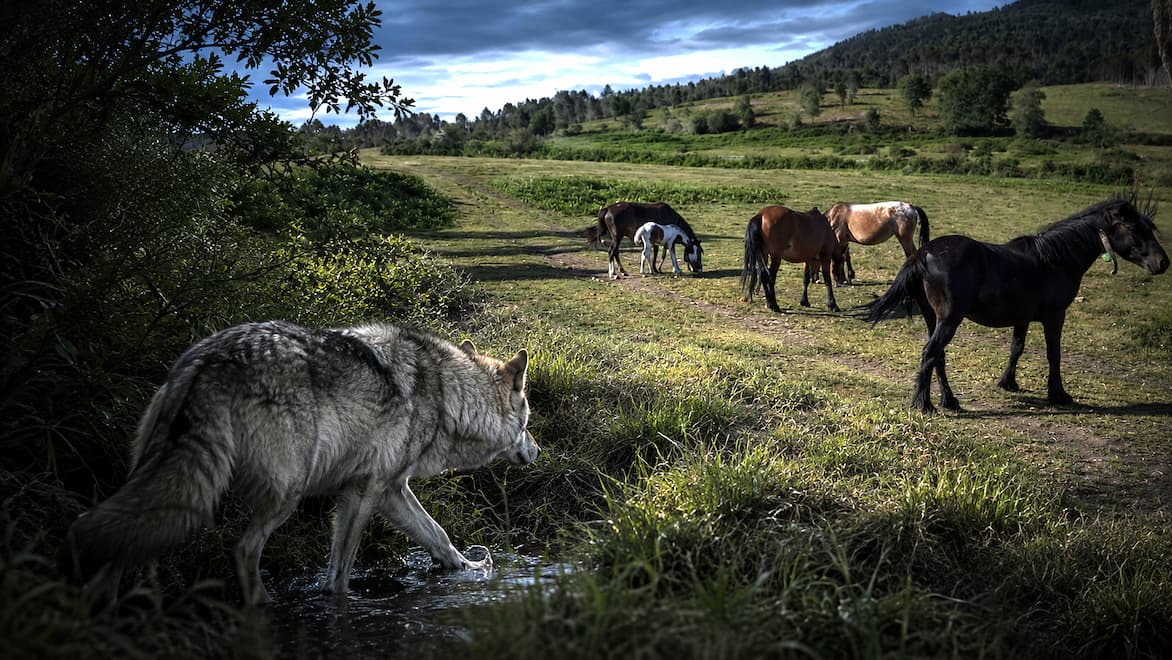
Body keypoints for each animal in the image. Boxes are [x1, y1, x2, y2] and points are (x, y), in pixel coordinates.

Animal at [59, 320, 540, 605]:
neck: (447, 394)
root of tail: (208, 361)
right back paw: (265, 607)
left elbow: (438, 535)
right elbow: (340, 573)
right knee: (244, 549)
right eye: (529, 419)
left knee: (119, 547)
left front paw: (468, 568)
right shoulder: (366, 492)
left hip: (169, 493)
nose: (537, 451)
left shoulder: (386, 491)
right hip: (286, 495)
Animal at [867, 197, 1168, 413]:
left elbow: (1017, 348)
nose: (1163, 262)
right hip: (949, 319)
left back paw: (948, 401)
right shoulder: (1055, 316)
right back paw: (924, 404)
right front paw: (1058, 394)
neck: (1055, 258)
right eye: (1134, 228)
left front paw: (1008, 383)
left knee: (937, 355)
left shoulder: (1022, 317)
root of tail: (924, 253)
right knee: (930, 352)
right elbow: (1053, 355)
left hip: (934, 318)